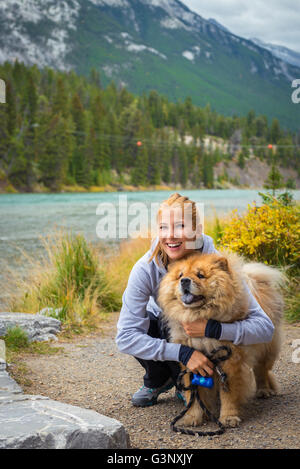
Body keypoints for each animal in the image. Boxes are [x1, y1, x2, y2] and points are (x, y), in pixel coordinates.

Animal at [158, 252, 284, 428]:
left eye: (200, 275)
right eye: (180, 276)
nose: (184, 281)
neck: (200, 315)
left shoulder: (230, 360)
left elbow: (228, 395)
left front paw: (228, 418)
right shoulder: (191, 361)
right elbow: (193, 395)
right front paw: (192, 417)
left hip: (265, 347)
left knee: (261, 371)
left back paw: (263, 390)